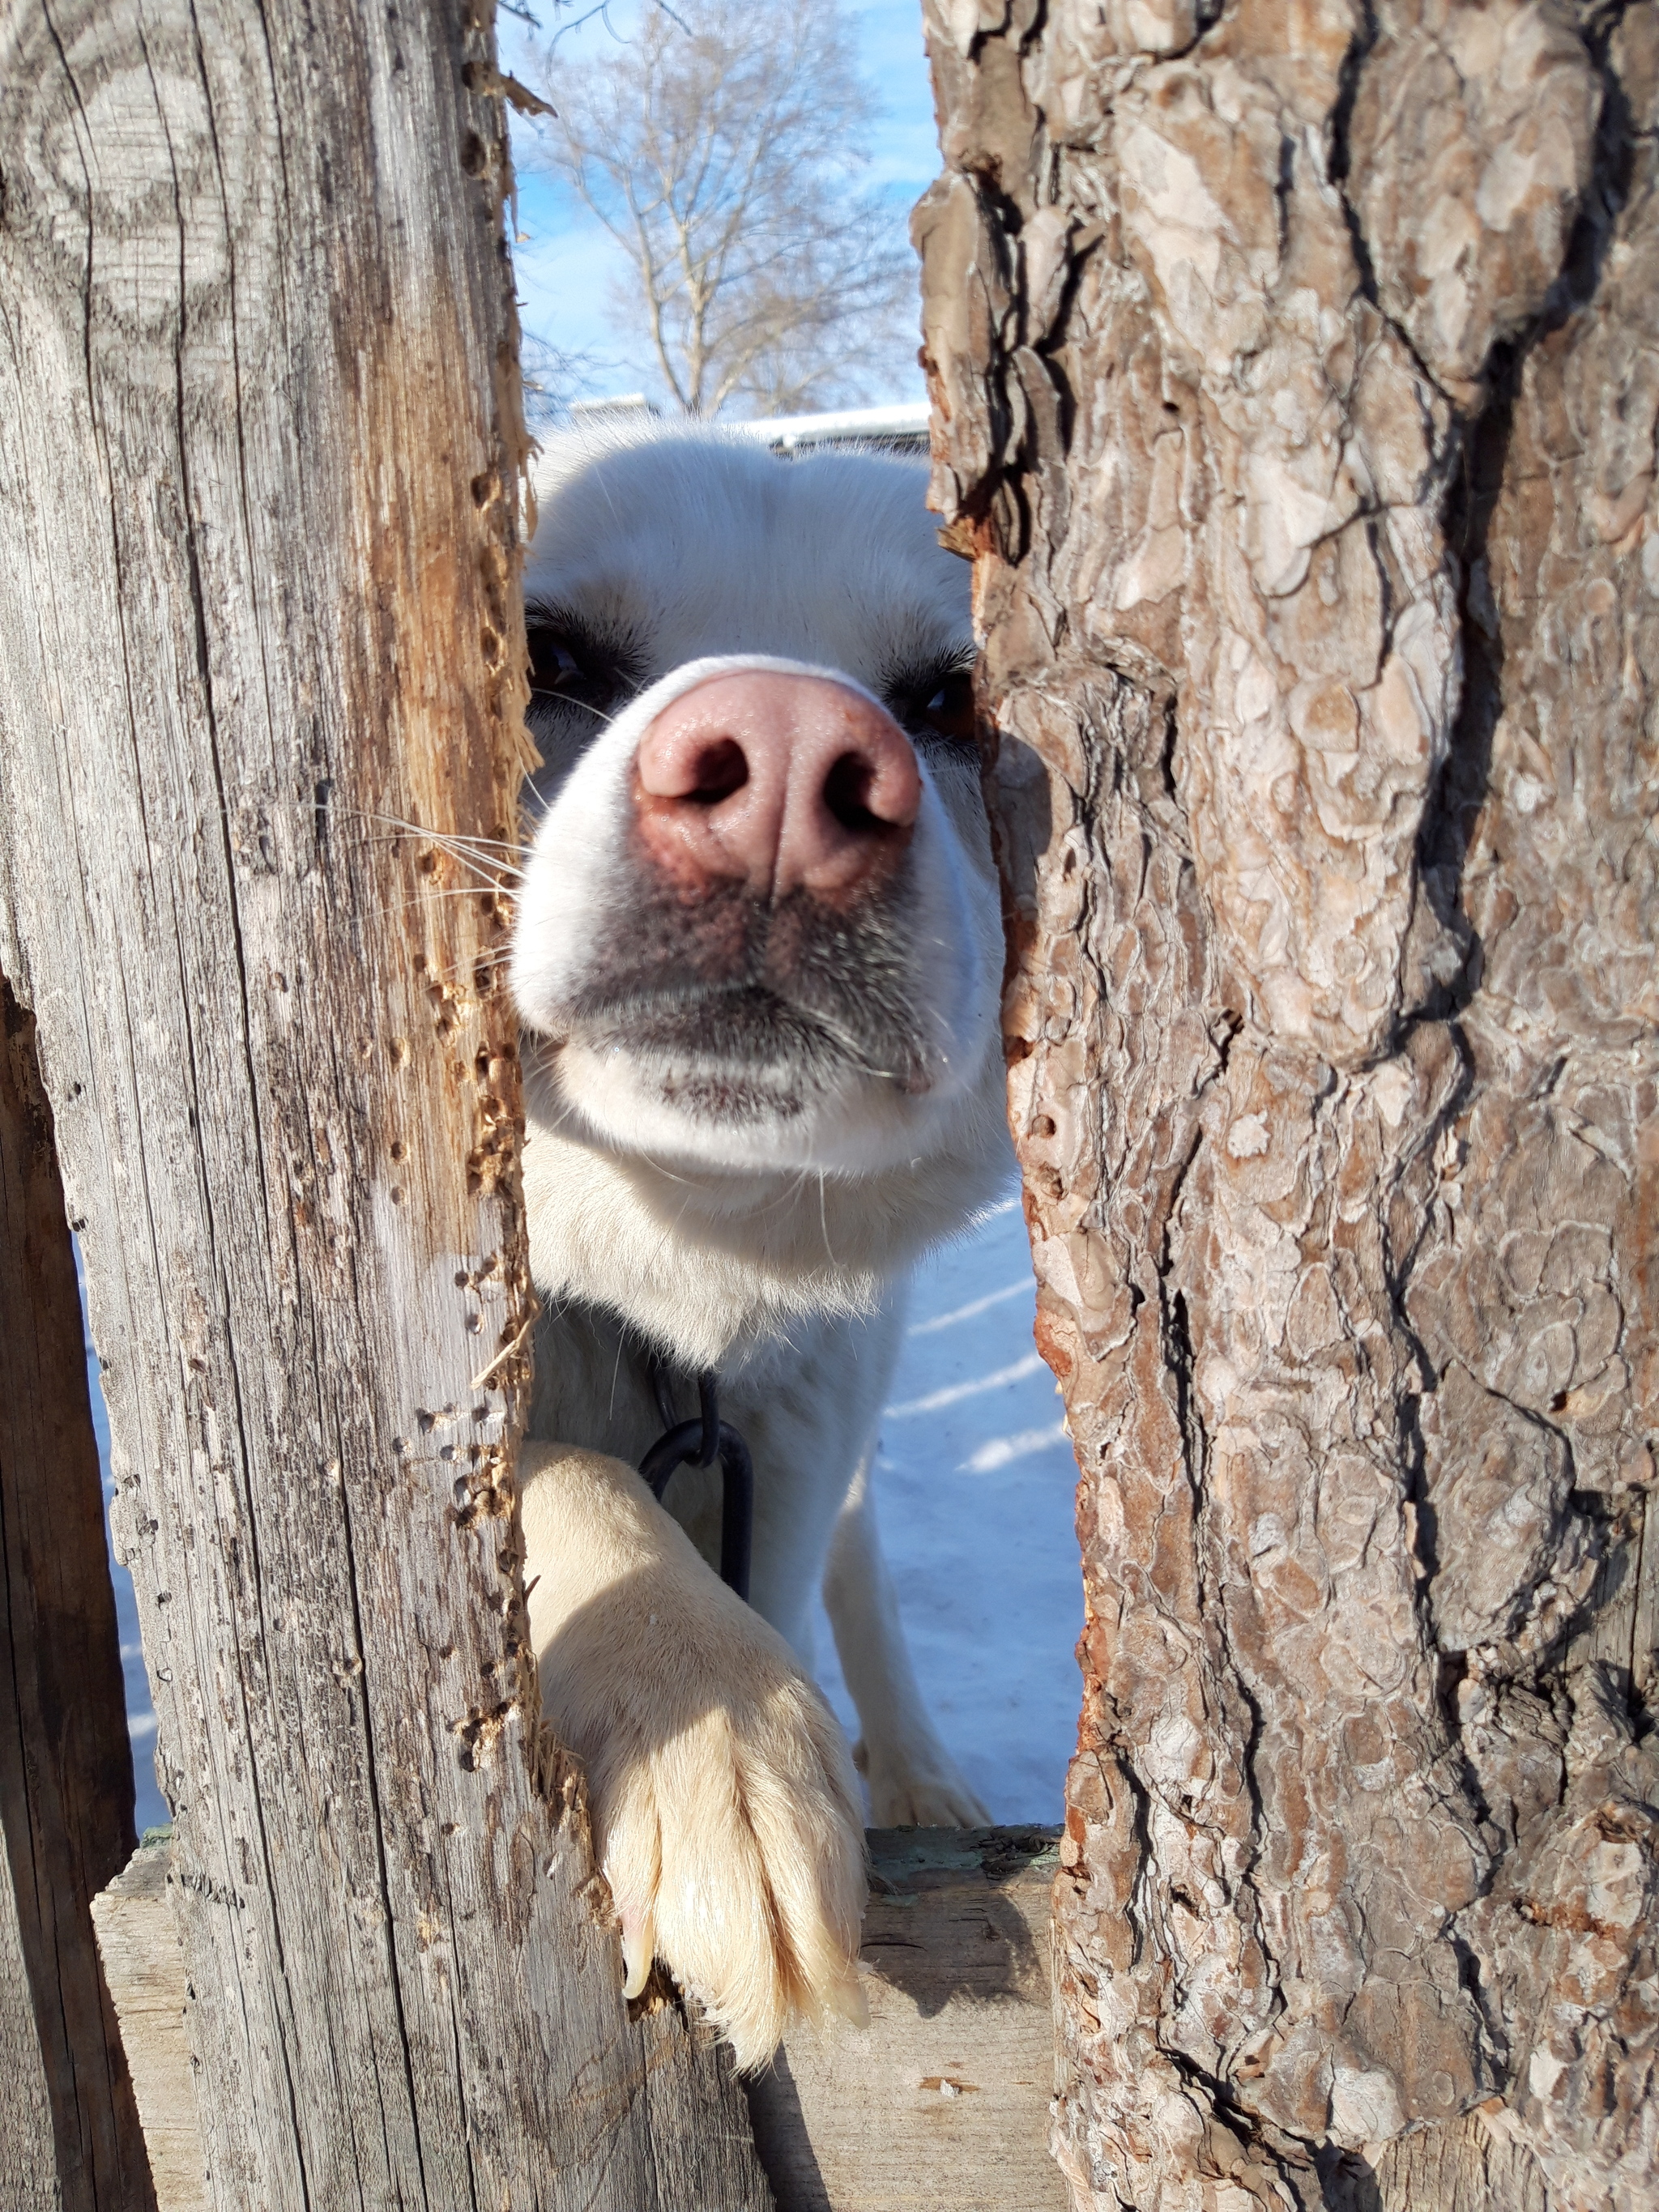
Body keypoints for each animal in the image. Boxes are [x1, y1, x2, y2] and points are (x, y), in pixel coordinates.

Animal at [513, 418, 1013, 2070]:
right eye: (546, 652)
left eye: (948, 699)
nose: (789, 762)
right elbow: (566, 1472)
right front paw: (716, 1731)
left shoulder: (789, 1461)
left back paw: (918, 1773)